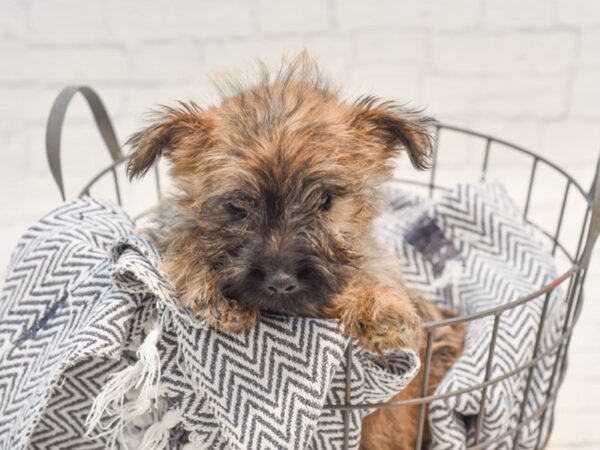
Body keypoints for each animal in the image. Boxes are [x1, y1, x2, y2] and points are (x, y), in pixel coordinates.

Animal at [126, 54, 464, 448]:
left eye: (325, 200)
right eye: (237, 207)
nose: (281, 282)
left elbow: (368, 274)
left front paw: (380, 307)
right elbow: (185, 238)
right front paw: (213, 293)